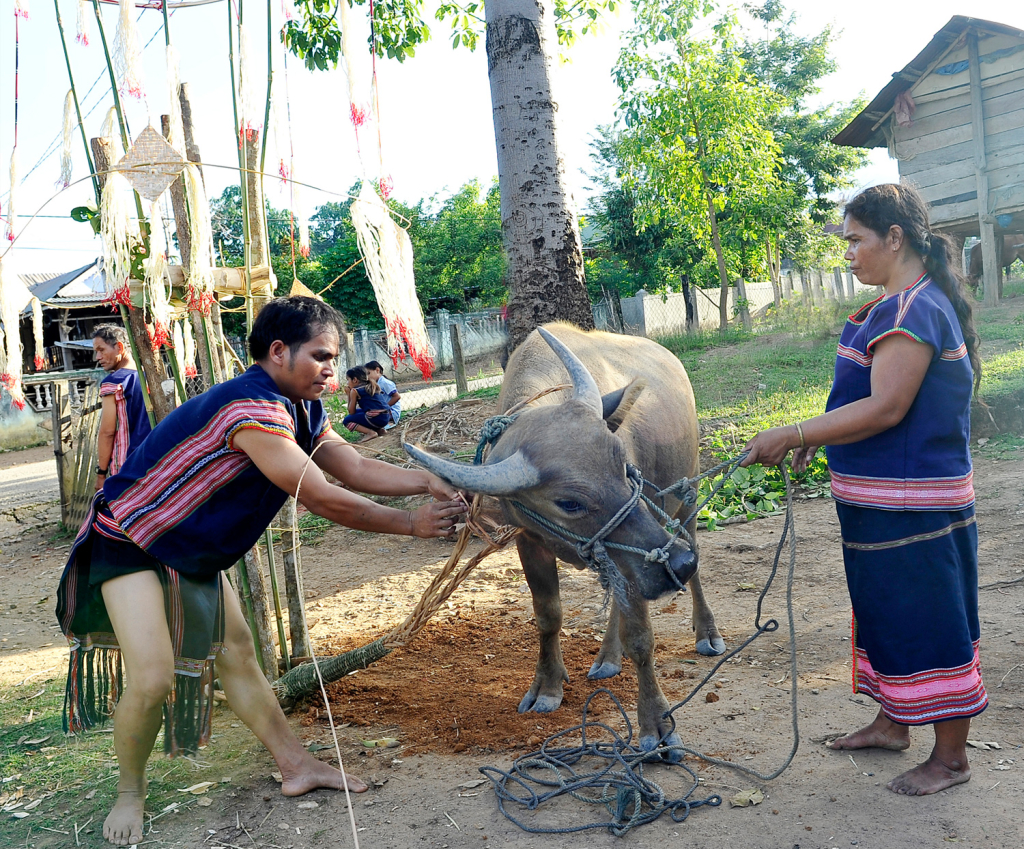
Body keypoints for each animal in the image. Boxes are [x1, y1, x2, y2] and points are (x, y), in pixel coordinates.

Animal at [403, 323, 724, 753]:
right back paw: (608, 656)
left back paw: (706, 632)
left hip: (685, 497)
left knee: (693, 552)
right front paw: (547, 686)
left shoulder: (639, 555)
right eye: (568, 502)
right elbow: (548, 616)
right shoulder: (531, 541)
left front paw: (657, 723)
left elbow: (641, 636)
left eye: (625, 467)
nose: (679, 564)